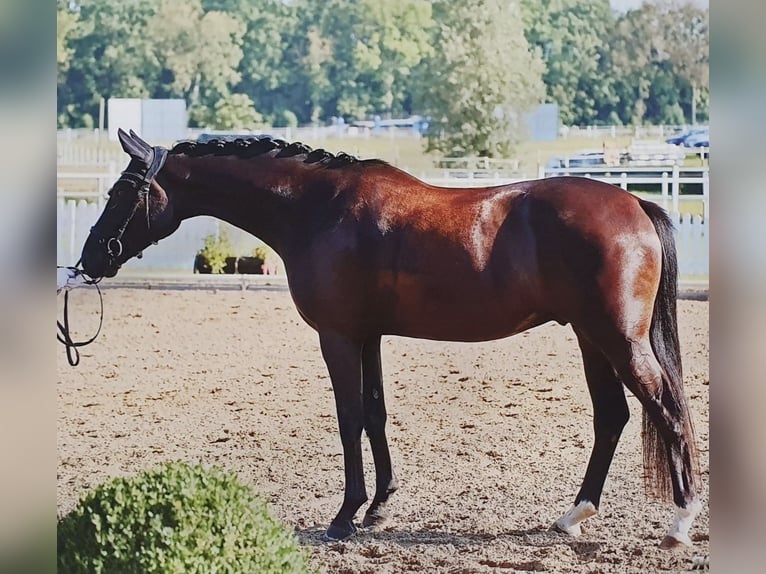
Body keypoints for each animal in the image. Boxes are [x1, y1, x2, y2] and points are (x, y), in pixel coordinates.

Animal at [79, 129, 704, 548]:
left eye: (123, 191)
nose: (89, 260)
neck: (319, 210)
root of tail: (634, 201)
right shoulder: (369, 335)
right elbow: (376, 413)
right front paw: (380, 507)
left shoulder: (337, 336)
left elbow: (349, 416)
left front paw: (345, 514)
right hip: (591, 338)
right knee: (613, 416)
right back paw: (573, 516)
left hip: (617, 339)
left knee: (667, 408)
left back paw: (680, 522)